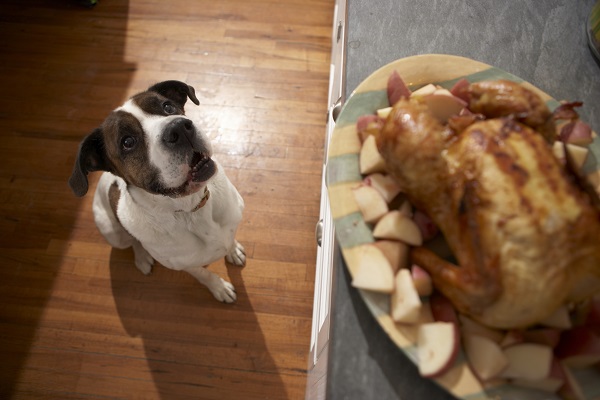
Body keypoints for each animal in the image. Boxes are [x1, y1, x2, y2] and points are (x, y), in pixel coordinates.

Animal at [69, 79, 246, 302]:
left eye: (167, 107)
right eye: (128, 142)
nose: (179, 128)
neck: (190, 209)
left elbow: (229, 240)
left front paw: (233, 250)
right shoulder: (185, 265)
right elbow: (204, 274)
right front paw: (219, 287)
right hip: (113, 234)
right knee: (132, 241)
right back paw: (142, 258)